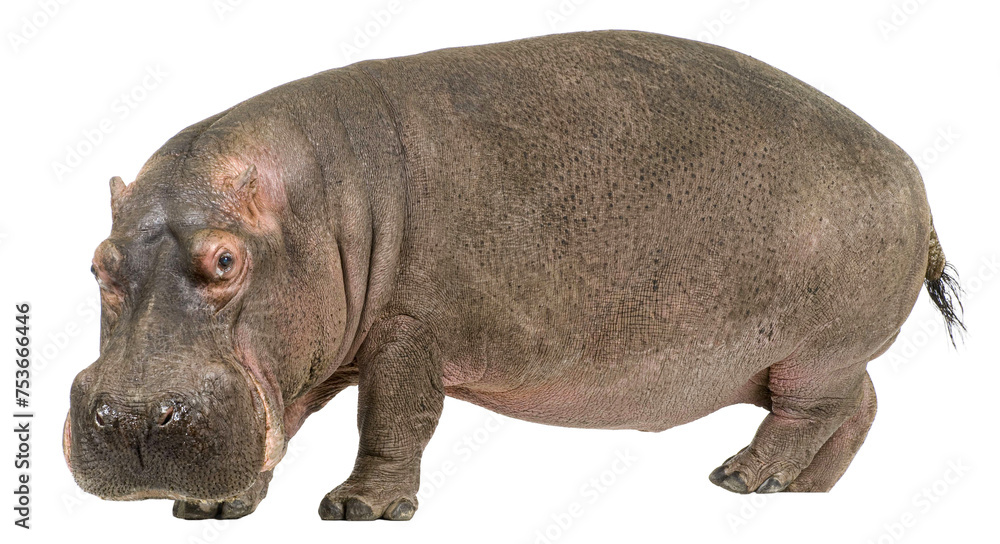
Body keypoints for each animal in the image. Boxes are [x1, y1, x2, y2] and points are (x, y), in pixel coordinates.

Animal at [64, 30, 963, 521]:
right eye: (97, 263)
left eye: (225, 261)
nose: (133, 417)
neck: (306, 209)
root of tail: (909, 168)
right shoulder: (306, 351)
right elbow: (279, 415)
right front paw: (213, 506)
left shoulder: (407, 329)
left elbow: (392, 417)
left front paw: (358, 509)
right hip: (811, 356)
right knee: (858, 408)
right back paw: (806, 494)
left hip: (819, 348)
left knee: (816, 410)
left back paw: (742, 480)